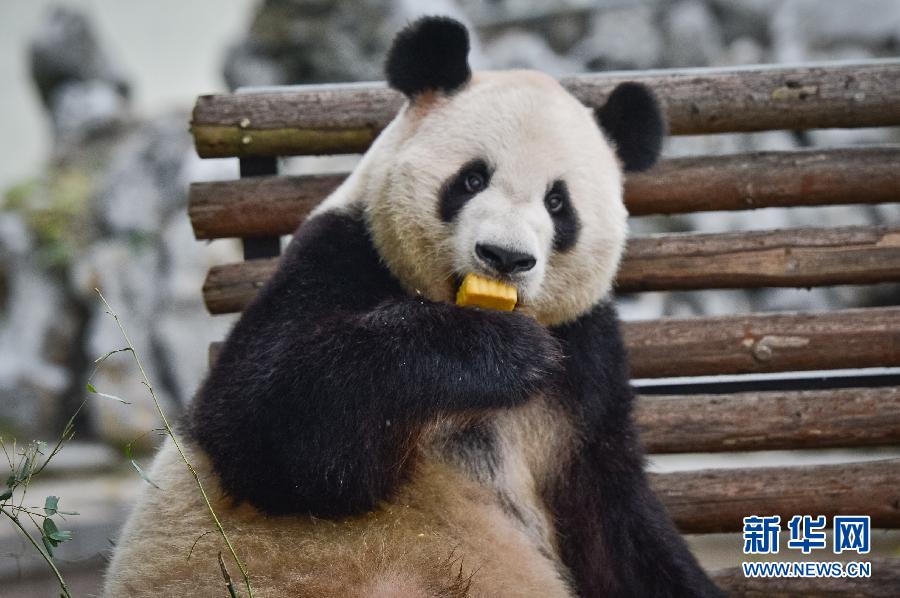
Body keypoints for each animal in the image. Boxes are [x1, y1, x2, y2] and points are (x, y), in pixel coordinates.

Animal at [103, 15, 724, 598]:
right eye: (471, 179)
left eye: (557, 203)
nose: (504, 256)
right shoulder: (340, 255)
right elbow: (268, 428)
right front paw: (505, 354)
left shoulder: (585, 367)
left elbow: (612, 526)